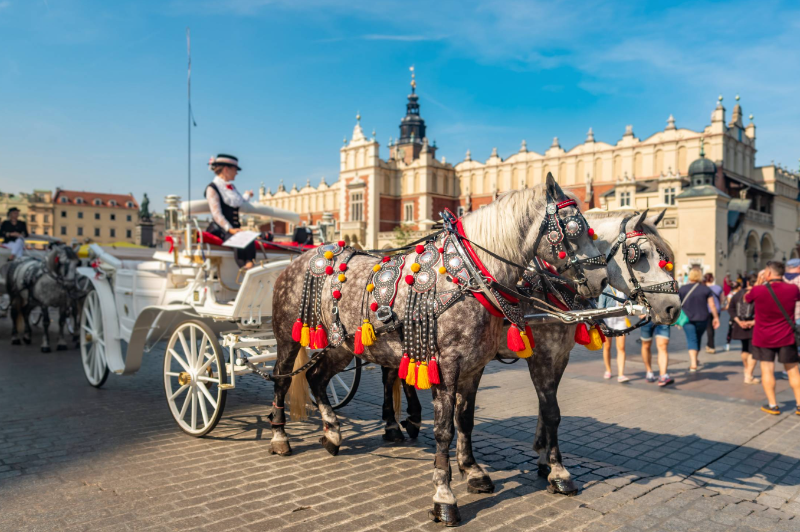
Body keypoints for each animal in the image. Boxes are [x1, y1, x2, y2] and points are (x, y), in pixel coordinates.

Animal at [269, 175, 609, 525]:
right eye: (574, 228)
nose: (602, 279)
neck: (469, 276)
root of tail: (302, 258)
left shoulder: (476, 365)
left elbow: (466, 419)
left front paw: (474, 471)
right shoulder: (451, 364)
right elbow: (445, 429)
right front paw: (445, 497)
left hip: (342, 345)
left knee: (316, 378)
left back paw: (334, 433)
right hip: (288, 336)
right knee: (282, 378)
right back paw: (281, 437)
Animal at [376, 208, 681, 498]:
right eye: (639, 254)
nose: (673, 308)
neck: (549, 283)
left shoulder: (560, 356)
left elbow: (547, 407)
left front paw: (544, 457)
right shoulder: (542, 354)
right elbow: (550, 410)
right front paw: (558, 472)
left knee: (398, 373)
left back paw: (406, 421)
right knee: (393, 375)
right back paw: (397, 424)